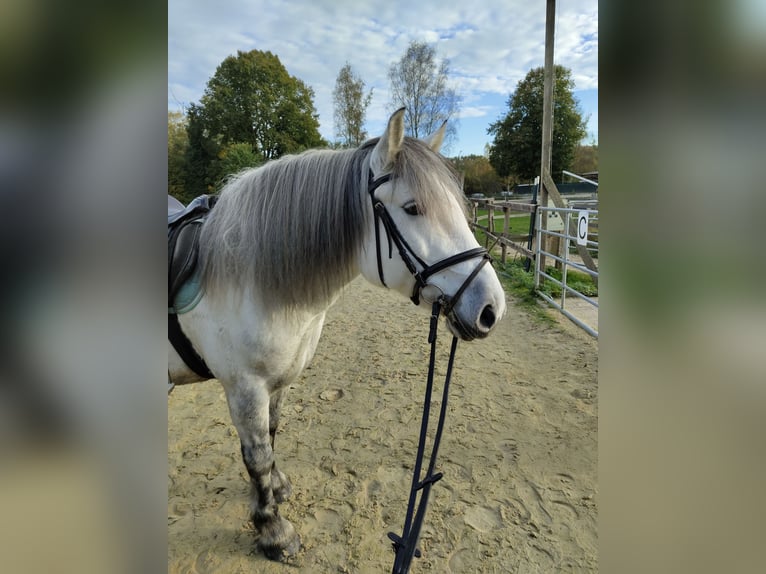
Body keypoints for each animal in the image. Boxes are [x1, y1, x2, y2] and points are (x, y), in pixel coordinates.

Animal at [169, 109, 508, 564]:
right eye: (413, 208)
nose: (491, 309)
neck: (248, 277)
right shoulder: (244, 387)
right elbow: (256, 456)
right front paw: (273, 531)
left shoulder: (278, 382)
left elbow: (272, 435)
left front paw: (276, 490)